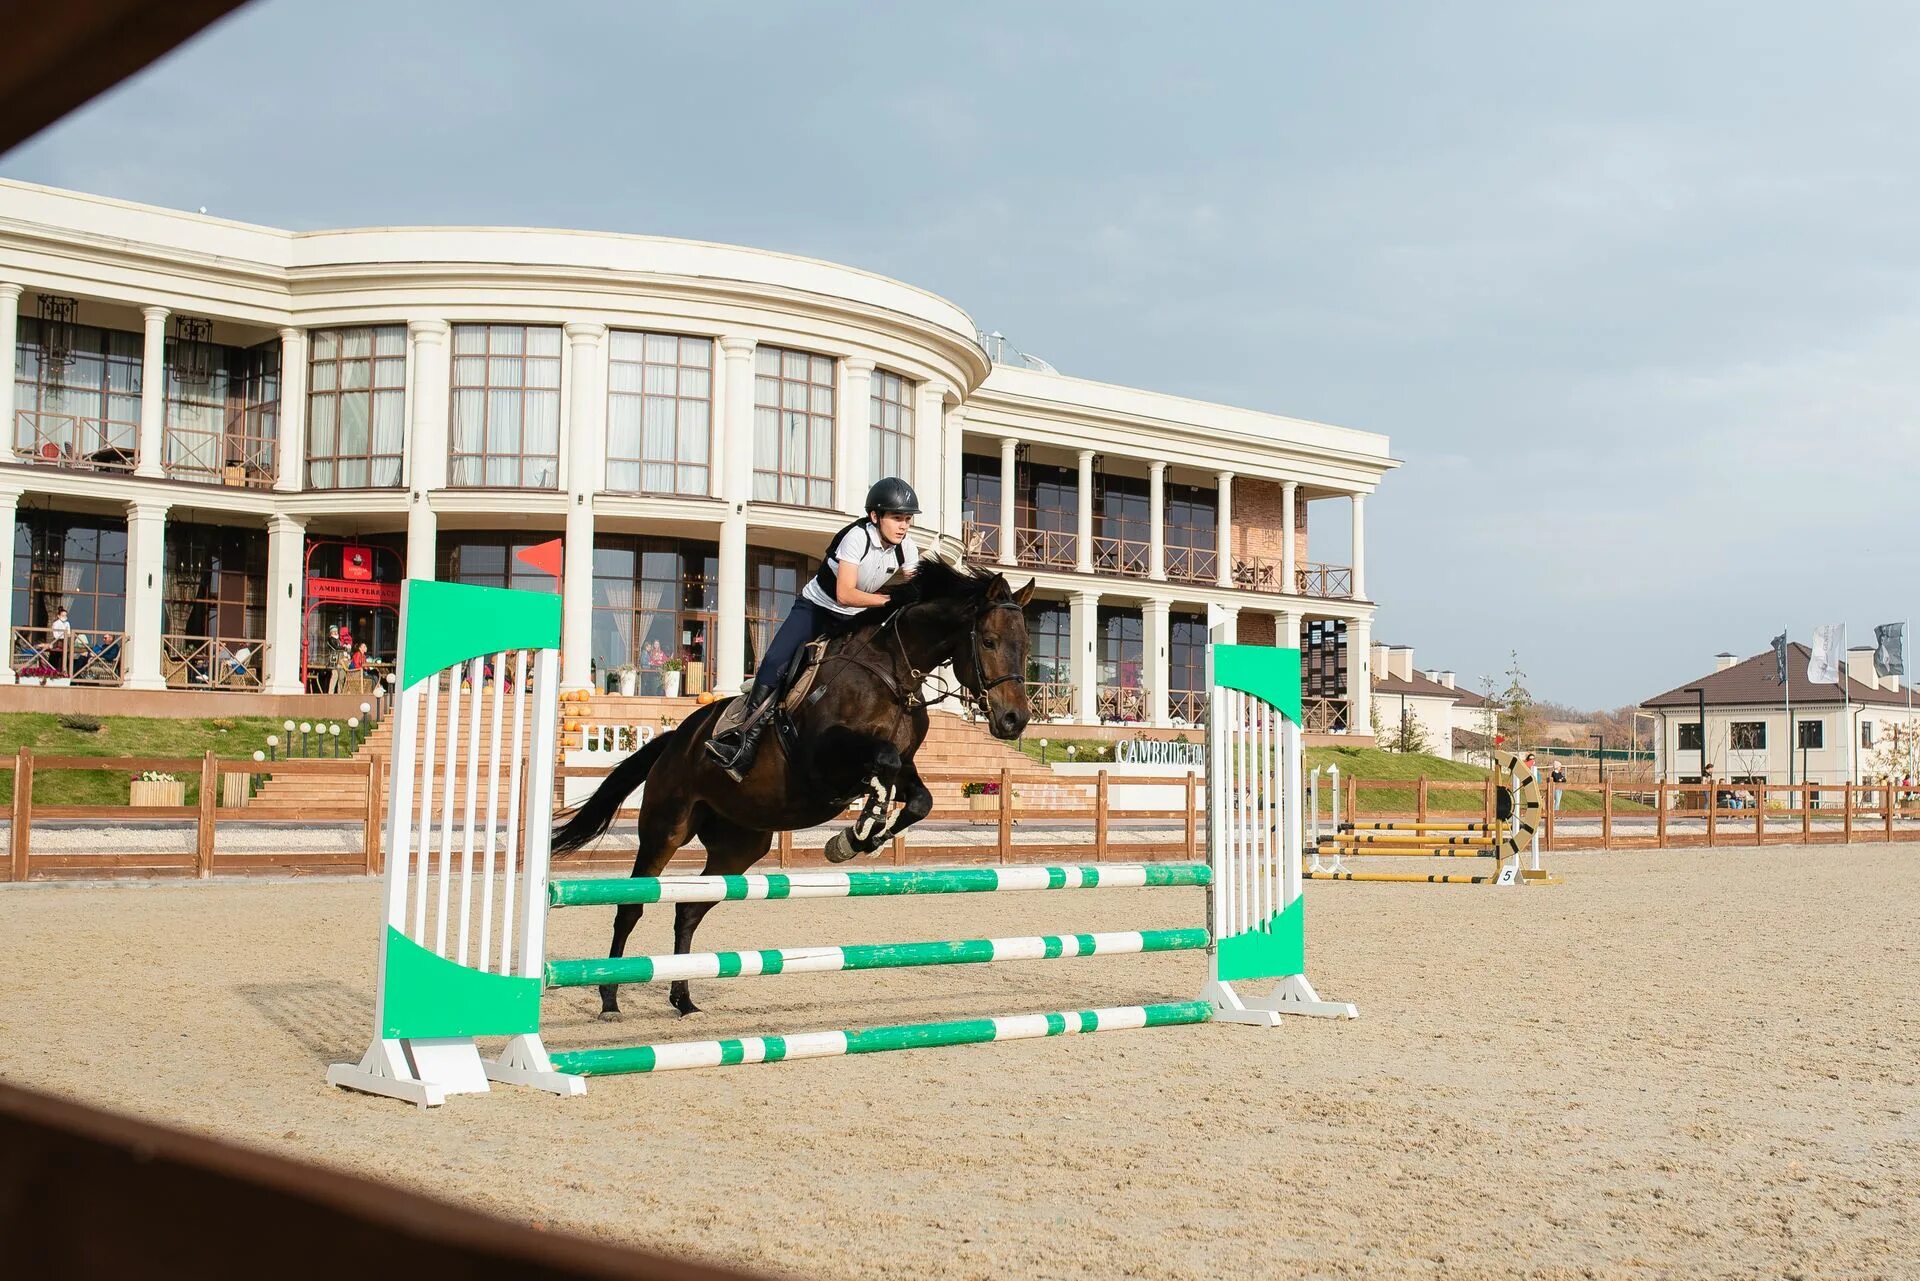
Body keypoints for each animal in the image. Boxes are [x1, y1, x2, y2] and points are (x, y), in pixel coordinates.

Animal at [552, 560, 1036, 1021]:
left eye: (1027, 647)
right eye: (989, 641)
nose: (1015, 720)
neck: (893, 674)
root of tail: (675, 740)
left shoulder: (905, 766)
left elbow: (919, 797)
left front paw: (859, 838)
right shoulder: (821, 760)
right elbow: (882, 762)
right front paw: (858, 828)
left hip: (739, 846)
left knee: (688, 909)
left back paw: (684, 999)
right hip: (665, 827)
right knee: (630, 907)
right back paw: (610, 999)